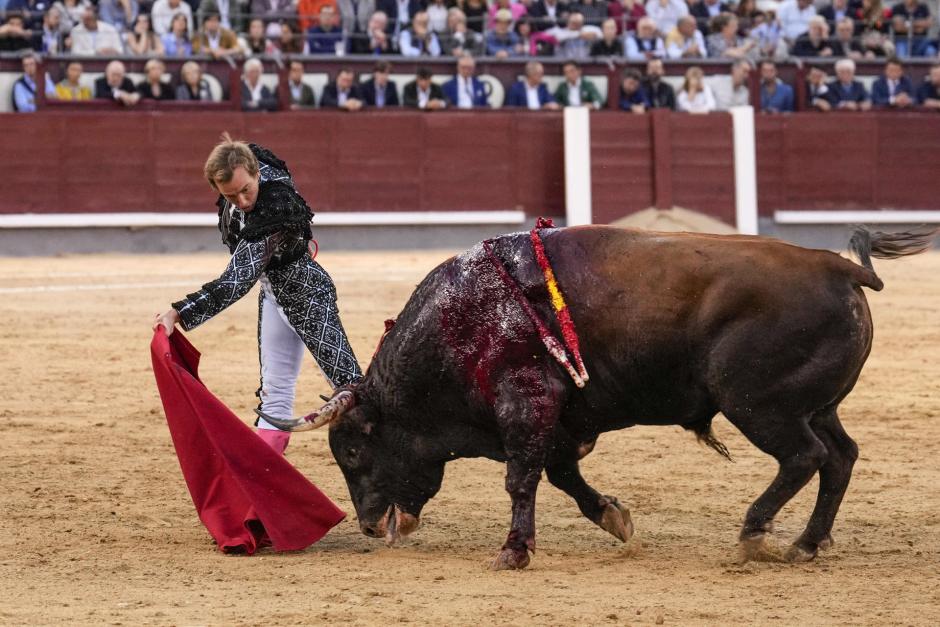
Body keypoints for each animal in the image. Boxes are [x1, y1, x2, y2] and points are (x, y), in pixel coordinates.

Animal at [258, 226, 940, 568]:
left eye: (352, 453)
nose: (371, 526)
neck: (462, 321)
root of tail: (842, 268)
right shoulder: (555, 418)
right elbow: (564, 477)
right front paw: (614, 517)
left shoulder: (525, 403)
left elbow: (522, 479)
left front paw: (514, 552)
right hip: (815, 404)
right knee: (840, 456)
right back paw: (806, 543)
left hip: (759, 404)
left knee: (805, 457)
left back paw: (754, 534)